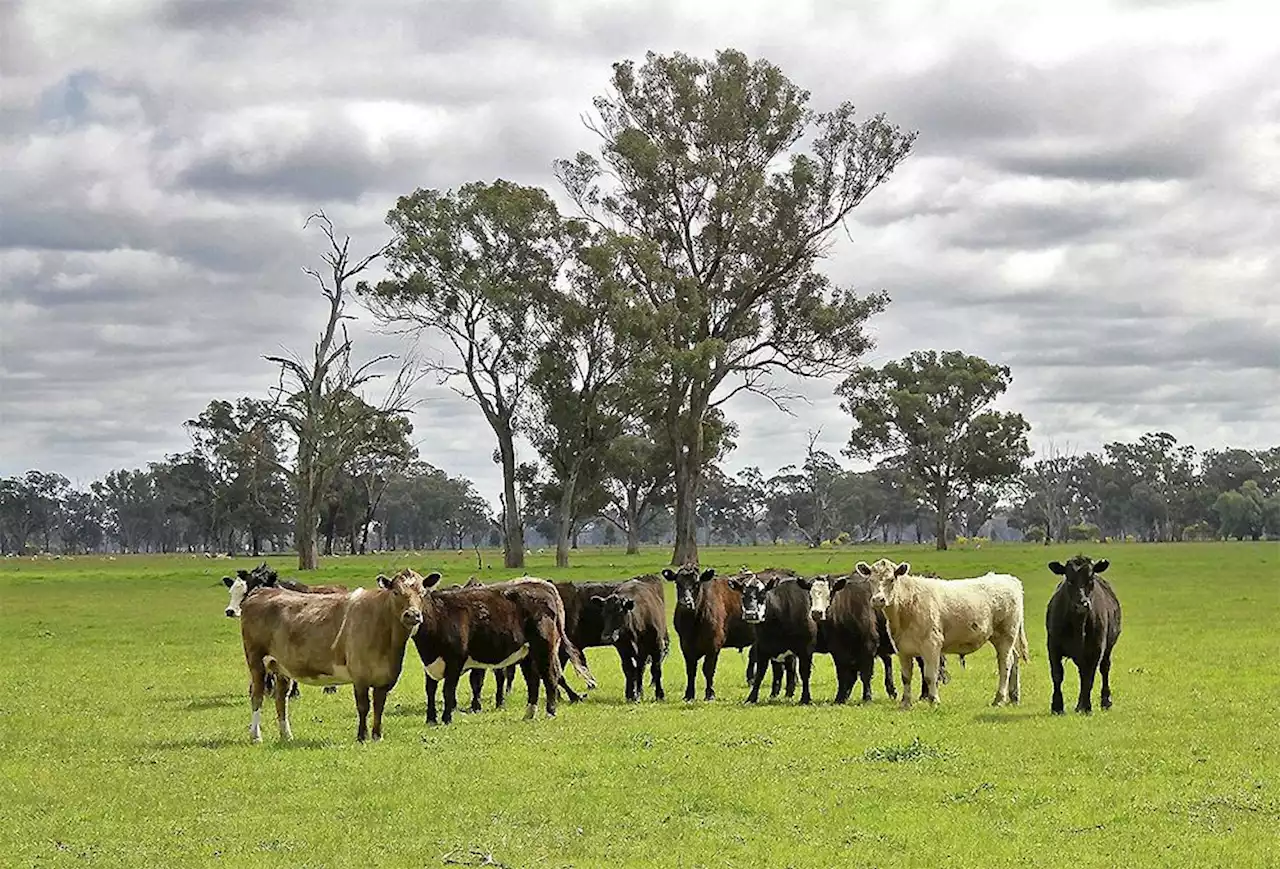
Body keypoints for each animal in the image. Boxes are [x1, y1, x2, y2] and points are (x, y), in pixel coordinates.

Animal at [235, 570, 424, 742]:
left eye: (422, 593)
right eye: (396, 592)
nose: (412, 614)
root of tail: (261, 591)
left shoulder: (384, 678)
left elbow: (379, 707)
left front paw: (377, 736)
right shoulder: (360, 675)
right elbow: (363, 706)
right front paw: (361, 737)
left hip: (281, 666)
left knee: (281, 698)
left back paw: (286, 735)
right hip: (256, 660)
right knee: (257, 695)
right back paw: (256, 736)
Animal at [860, 560, 1029, 711]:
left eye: (891, 579)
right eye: (871, 580)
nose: (878, 600)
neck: (907, 606)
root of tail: (1010, 579)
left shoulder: (932, 645)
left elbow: (930, 675)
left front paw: (934, 701)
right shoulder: (903, 649)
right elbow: (906, 676)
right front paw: (905, 703)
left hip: (1006, 635)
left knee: (1005, 663)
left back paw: (999, 699)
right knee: (1015, 658)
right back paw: (1014, 697)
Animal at [1044, 558, 1126, 711]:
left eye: (1090, 579)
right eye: (1069, 580)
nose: (1082, 604)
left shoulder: (1096, 649)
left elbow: (1090, 677)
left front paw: (1086, 706)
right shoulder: (1053, 646)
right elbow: (1057, 674)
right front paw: (1057, 706)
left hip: (1108, 647)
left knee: (1104, 668)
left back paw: (1105, 701)